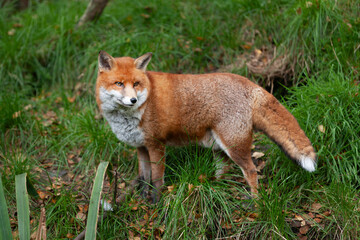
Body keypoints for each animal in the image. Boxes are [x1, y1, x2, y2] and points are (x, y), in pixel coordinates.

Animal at [96, 51, 318, 202]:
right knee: (224, 169)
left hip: (233, 146)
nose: (133, 100)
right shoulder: (141, 147)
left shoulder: (156, 144)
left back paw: (255, 204)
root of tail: (249, 82)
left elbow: (158, 179)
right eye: (119, 83)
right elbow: (144, 177)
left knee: (251, 171)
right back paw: (215, 187)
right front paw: (143, 199)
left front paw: (156, 203)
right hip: (219, 147)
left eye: (136, 84)